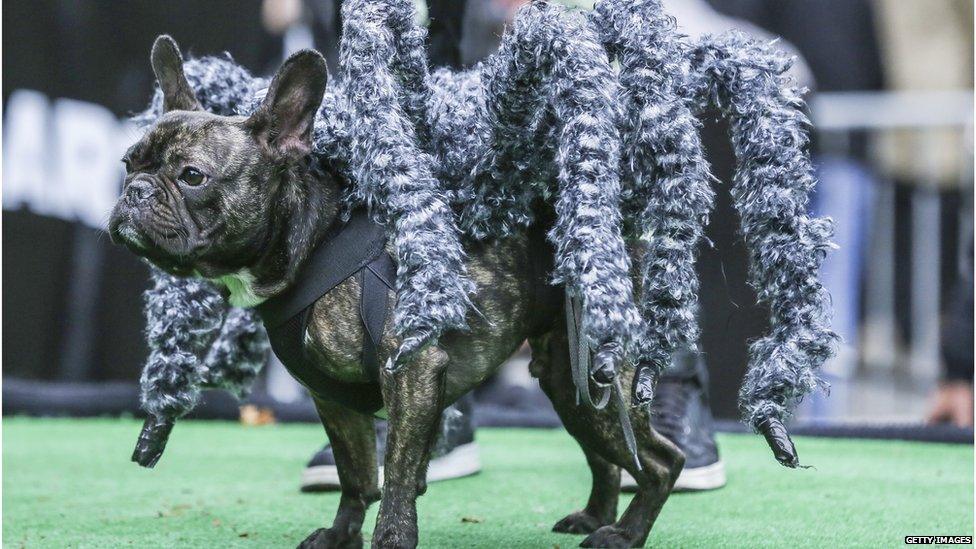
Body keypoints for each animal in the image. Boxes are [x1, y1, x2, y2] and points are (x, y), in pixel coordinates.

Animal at [110, 36, 684, 544]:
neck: (313, 239)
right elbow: (357, 475)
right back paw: (594, 517)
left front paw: (390, 537)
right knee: (607, 459)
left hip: (602, 391)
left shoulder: (411, 370)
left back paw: (624, 533)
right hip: (572, 386)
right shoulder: (332, 399)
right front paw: (341, 535)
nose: (135, 192)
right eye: (128, 164)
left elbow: (399, 476)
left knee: (660, 463)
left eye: (192, 176)